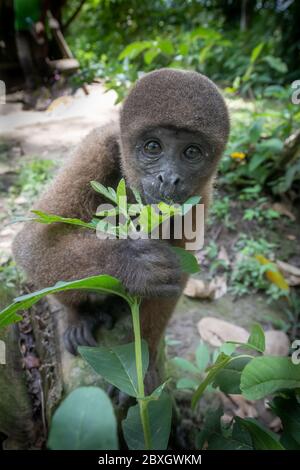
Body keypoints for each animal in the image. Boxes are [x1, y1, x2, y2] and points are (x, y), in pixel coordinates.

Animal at [13, 69, 230, 392]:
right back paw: (79, 316)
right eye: (153, 147)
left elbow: (177, 276)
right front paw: (132, 262)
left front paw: (144, 363)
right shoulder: (95, 146)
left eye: (192, 152)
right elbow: (33, 242)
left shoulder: (200, 196)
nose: (169, 178)